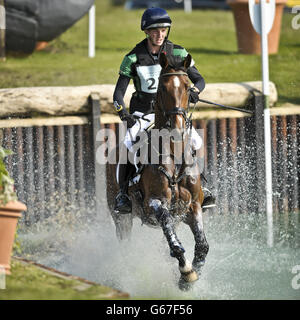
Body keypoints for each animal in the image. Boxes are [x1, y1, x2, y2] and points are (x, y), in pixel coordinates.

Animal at [107, 52, 209, 290]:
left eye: (188, 86)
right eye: (162, 88)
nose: (178, 127)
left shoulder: (193, 206)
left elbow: (202, 246)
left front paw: (190, 276)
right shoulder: (155, 203)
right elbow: (176, 244)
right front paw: (186, 272)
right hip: (121, 219)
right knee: (125, 244)